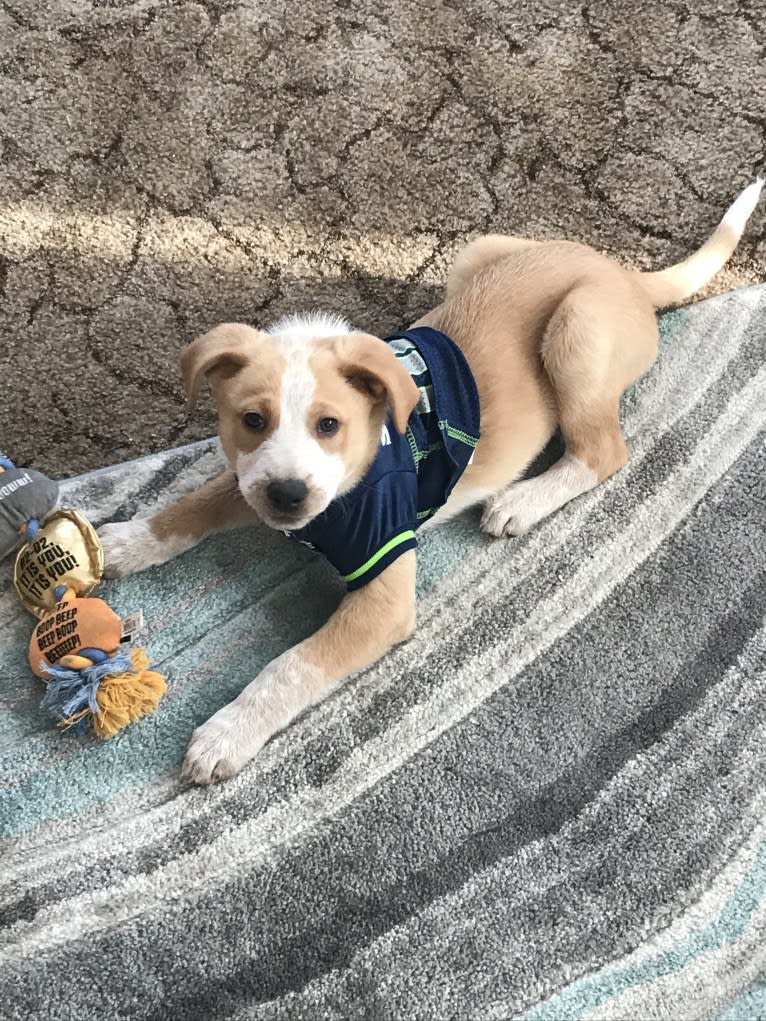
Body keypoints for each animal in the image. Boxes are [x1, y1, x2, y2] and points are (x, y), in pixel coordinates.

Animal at [99, 179, 763, 780]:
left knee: (603, 451)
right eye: (252, 421)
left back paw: (522, 501)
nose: (287, 498)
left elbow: (291, 665)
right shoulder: (249, 477)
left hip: (577, 326)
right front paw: (123, 541)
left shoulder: (384, 590)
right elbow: (191, 507)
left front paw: (227, 733)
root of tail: (622, 272)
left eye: (329, 425)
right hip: (476, 253)